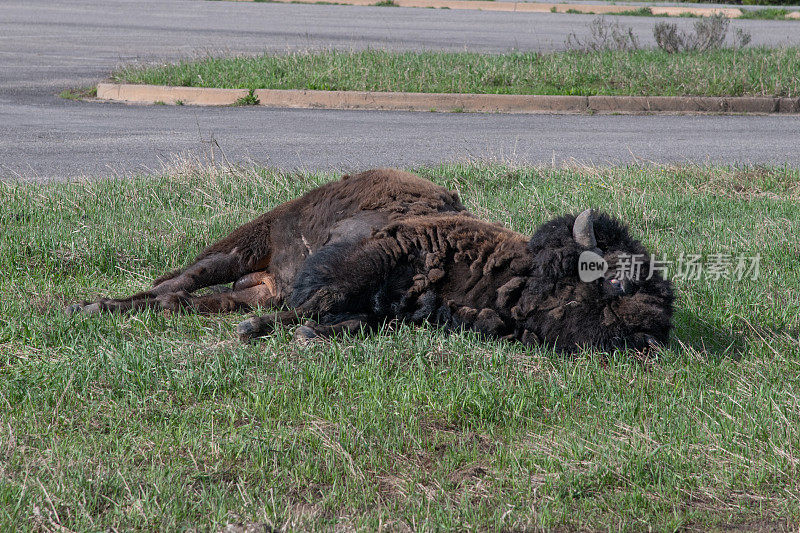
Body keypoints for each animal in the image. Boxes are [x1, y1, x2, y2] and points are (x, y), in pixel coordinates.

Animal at [67, 168, 676, 352]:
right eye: (613, 285)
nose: (652, 335)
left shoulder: (390, 309)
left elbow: (353, 318)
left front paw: (299, 333)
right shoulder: (369, 259)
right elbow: (320, 300)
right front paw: (271, 331)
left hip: (254, 279)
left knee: (198, 299)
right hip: (244, 244)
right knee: (182, 280)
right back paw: (97, 305)